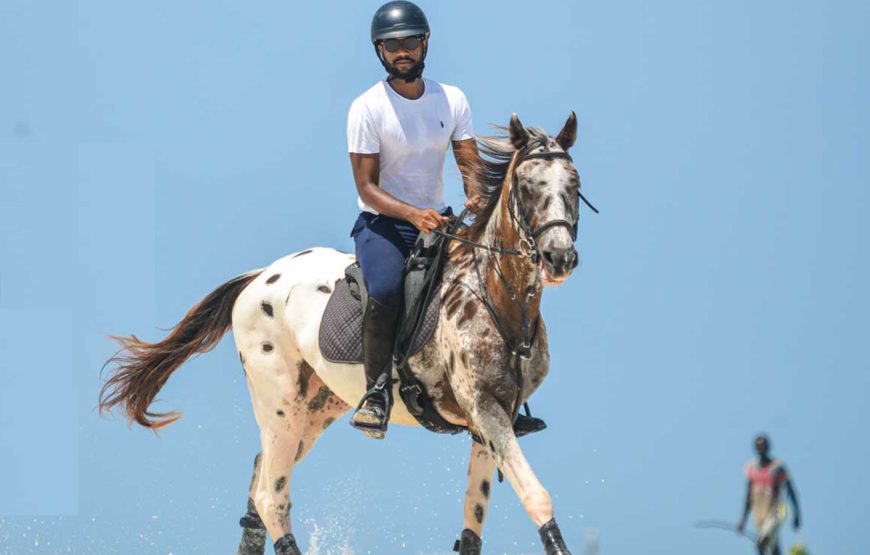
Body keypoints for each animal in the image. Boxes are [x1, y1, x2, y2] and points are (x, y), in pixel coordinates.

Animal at [99, 112, 587, 555]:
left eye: (574, 184)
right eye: (527, 186)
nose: (559, 257)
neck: (497, 298)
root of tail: (259, 277)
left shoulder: (490, 417)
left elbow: (473, 522)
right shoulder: (485, 410)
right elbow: (538, 498)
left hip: (314, 408)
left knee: (260, 485)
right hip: (279, 406)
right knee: (272, 498)